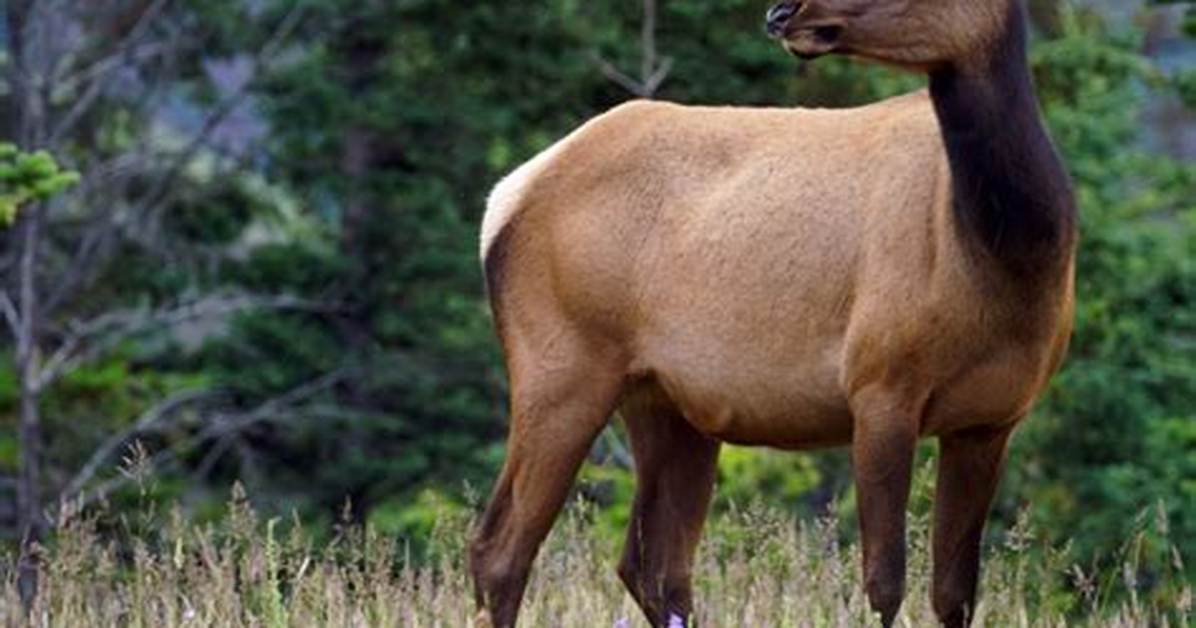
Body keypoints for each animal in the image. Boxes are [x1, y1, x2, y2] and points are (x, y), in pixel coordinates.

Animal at [469, 0, 1076, 626]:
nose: (783, 12)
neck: (1008, 261)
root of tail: (503, 200)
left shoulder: (991, 420)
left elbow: (954, 595)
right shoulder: (879, 385)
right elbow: (885, 584)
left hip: (666, 402)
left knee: (653, 566)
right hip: (562, 366)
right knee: (500, 550)